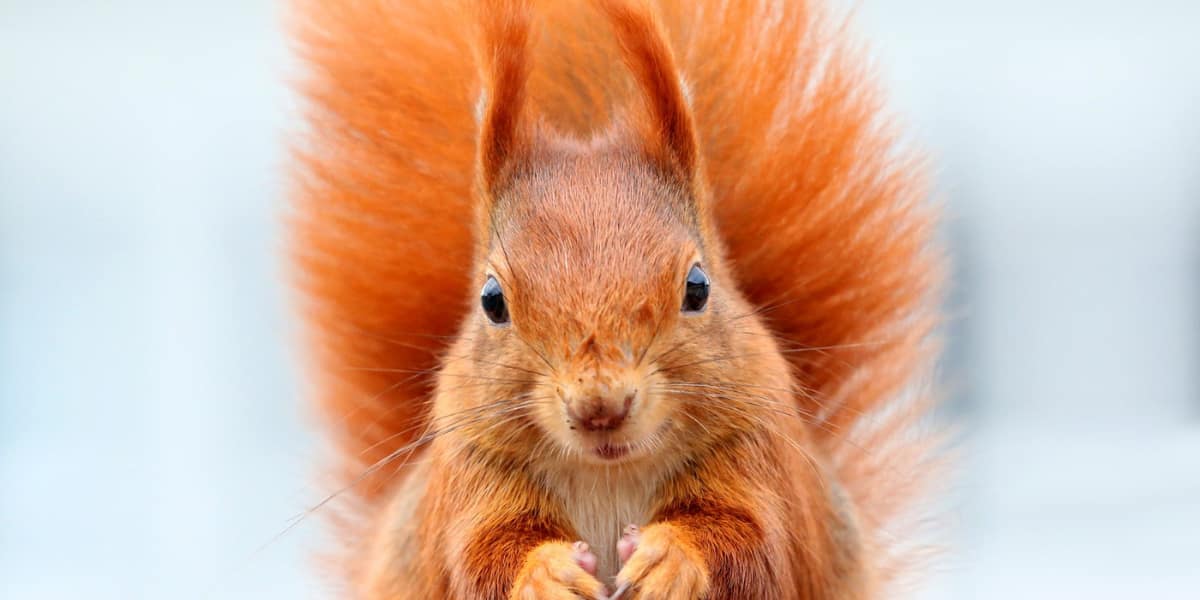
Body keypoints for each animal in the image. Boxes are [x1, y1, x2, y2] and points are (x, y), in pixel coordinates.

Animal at [289, 0, 944, 598]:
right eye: (492, 300)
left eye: (698, 287)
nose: (599, 407)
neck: (609, 474)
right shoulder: (472, 479)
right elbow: (480, 556)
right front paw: (544, 573)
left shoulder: (759, 461)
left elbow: (752, 544)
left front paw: (672, 558)